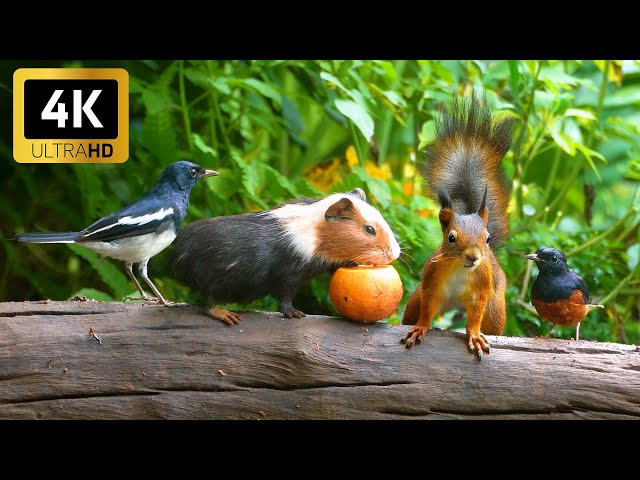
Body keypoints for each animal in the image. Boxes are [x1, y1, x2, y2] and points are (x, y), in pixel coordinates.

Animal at [170, 188, 401, 325]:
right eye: (369, 229)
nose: (394, 253)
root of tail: (177, 255)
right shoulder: (290, 275)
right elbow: (285, 299)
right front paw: (297, 314)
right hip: (212, 284)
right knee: (205, 305)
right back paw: (230, 317)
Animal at [401, 90, 515, 359]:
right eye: (451, 237)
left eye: (487, 238)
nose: (474, 257)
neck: (459, 271)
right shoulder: (431, 286)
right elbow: (426, 311)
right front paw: (420, 328)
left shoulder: (481, 291)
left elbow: (474, 318)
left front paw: (474, 336)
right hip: (415, 298)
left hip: (495, 309)